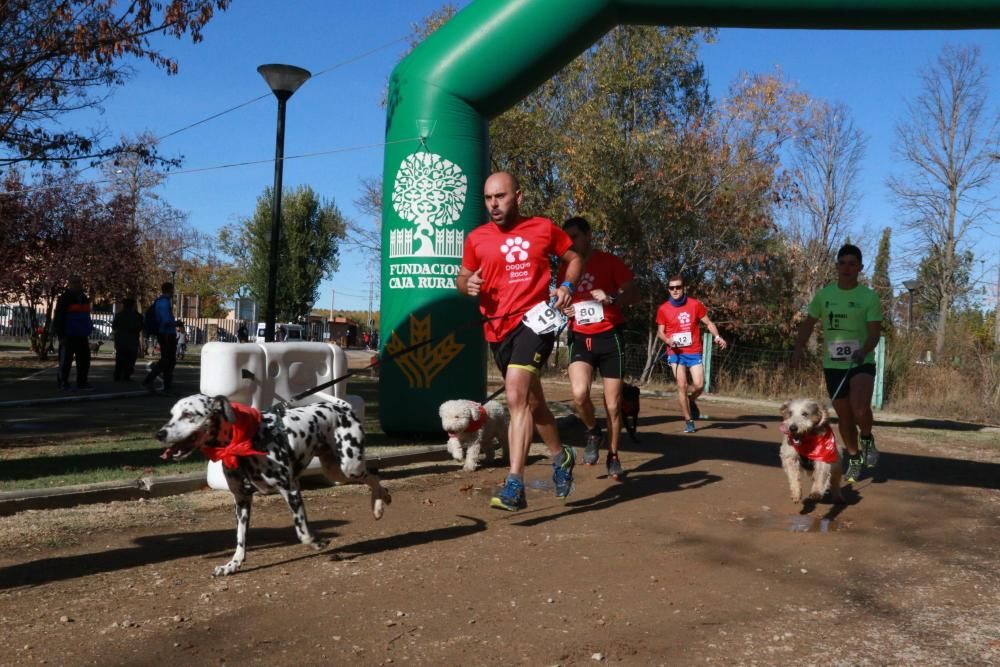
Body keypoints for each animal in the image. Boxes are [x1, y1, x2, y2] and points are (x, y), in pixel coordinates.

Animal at [157, 394, 390, 576]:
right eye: (172, 414)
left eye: (189, 414)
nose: (159, 433)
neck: (244, 442)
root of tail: (342, 407)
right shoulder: (242, 501)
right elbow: (240, 540)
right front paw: (232, 565)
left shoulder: (291, 489)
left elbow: (302, 533)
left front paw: (317, 543)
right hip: (336, 470)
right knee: (373, 477)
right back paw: (381, 502)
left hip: (350, 466)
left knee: (374, 476)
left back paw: (380, 503)